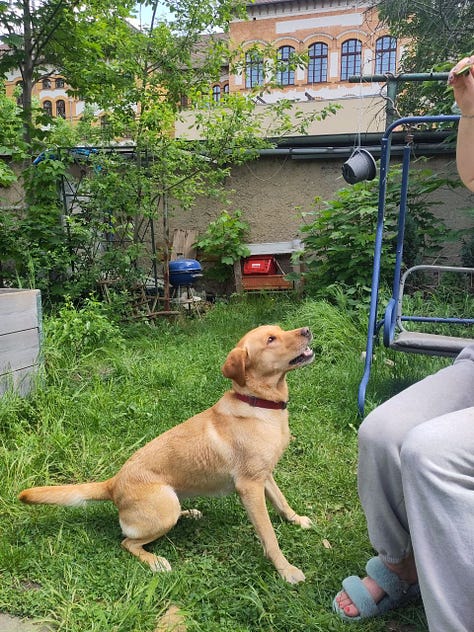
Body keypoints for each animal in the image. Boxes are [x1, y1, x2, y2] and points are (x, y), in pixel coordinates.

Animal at [19, 326, 314, 584]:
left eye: (280, 329)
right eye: (271, 339)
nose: (307, 330)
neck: (258, 403)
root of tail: (112, 483)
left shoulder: (265, 475)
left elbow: (282, 502)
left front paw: (297, 520)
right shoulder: (250, 486)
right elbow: (269, 535)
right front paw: (286, 569)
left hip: (171, 500)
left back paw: (190, 513)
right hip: (164, 509)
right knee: (128, 541)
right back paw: (155, 561)